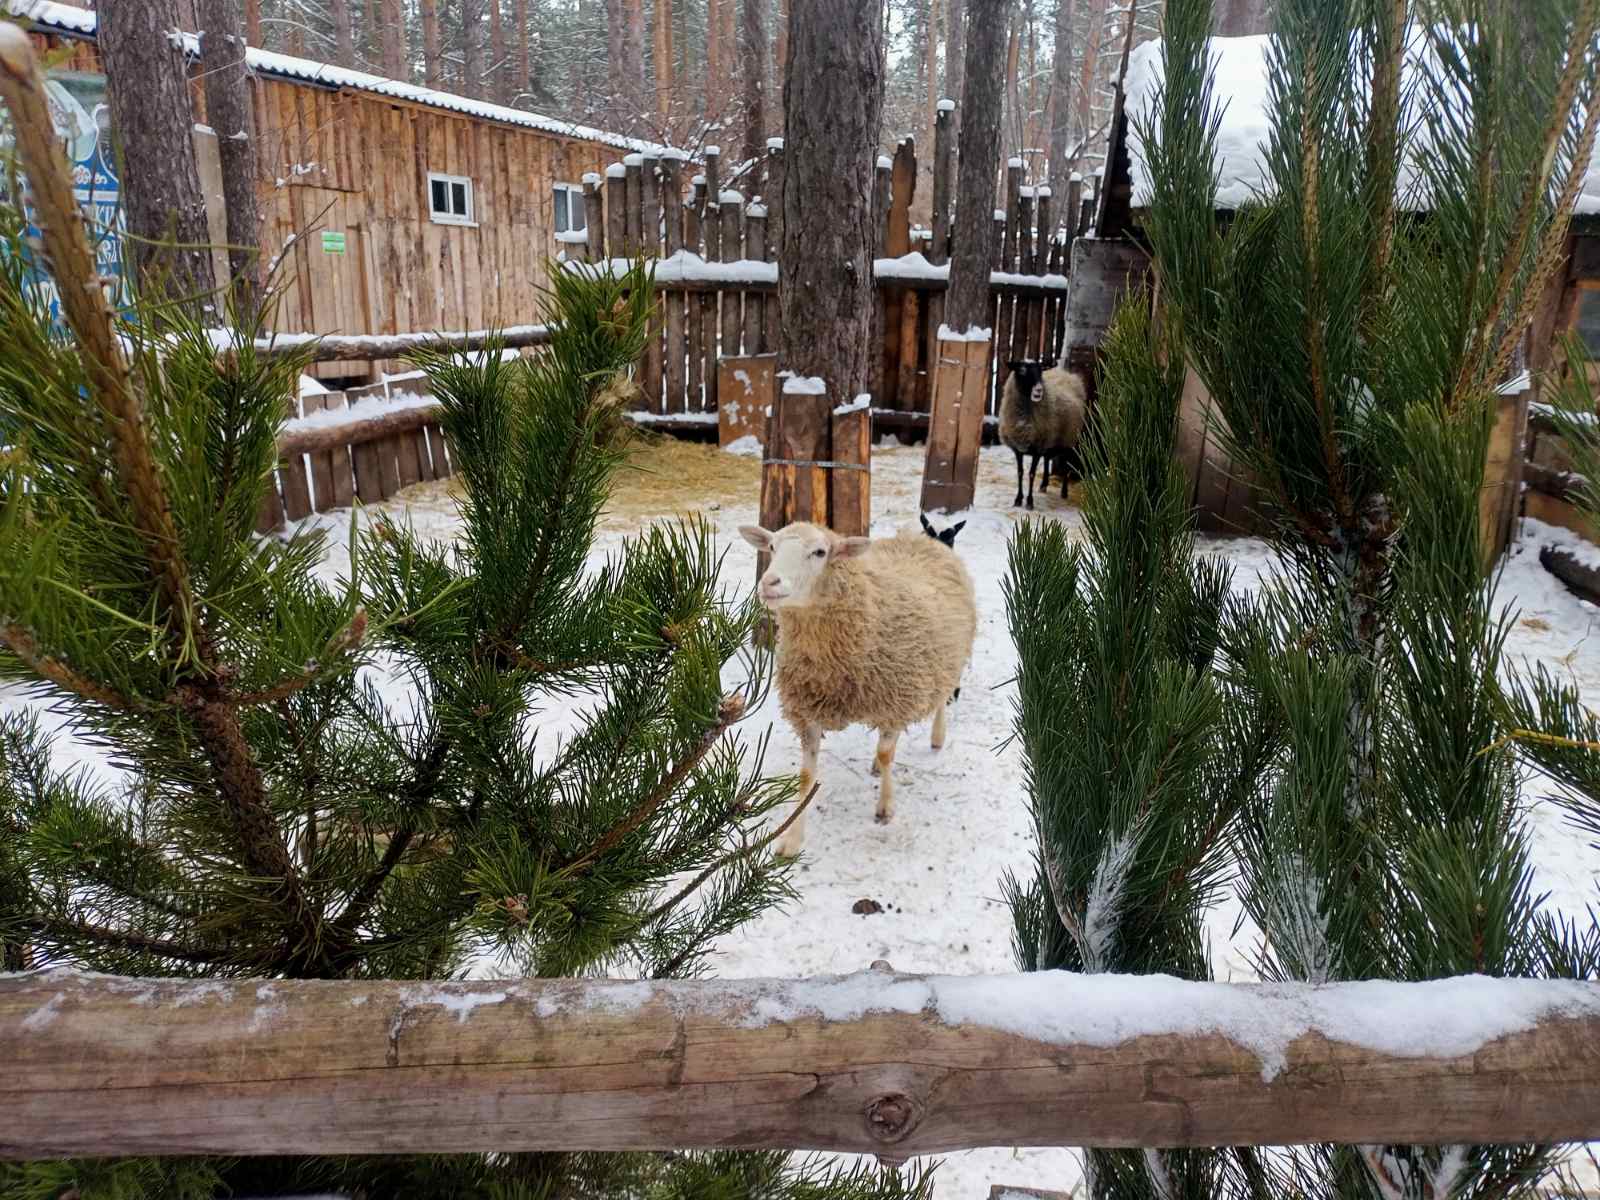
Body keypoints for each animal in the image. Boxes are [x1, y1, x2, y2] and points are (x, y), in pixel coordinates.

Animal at [736, 521, 972, 857]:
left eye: (820, 552)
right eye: (771, 547)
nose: (769, 583)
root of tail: (923, 540)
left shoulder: (896, 700)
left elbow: (887, 754)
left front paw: (885, 808)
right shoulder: (807, 712)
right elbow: (806, 776)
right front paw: (792, 839)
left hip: (947, 658)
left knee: (941, 699)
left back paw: (937, 737)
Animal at [998, 356, 1088, 508]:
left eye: (1040, 371)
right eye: (1021, 370)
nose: (1039, 390)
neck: (1024, 420)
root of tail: (1067, 374)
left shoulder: (1037, 448)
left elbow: (1031, 474)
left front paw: (1029, 502)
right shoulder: (1019, 449)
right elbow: (1020, 472)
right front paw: (1018, 499)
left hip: (1068, 441)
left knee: (1066, 467)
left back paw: (1064, 492)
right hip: (1050, 440)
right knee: (1047, 459)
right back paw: (1044, 485)